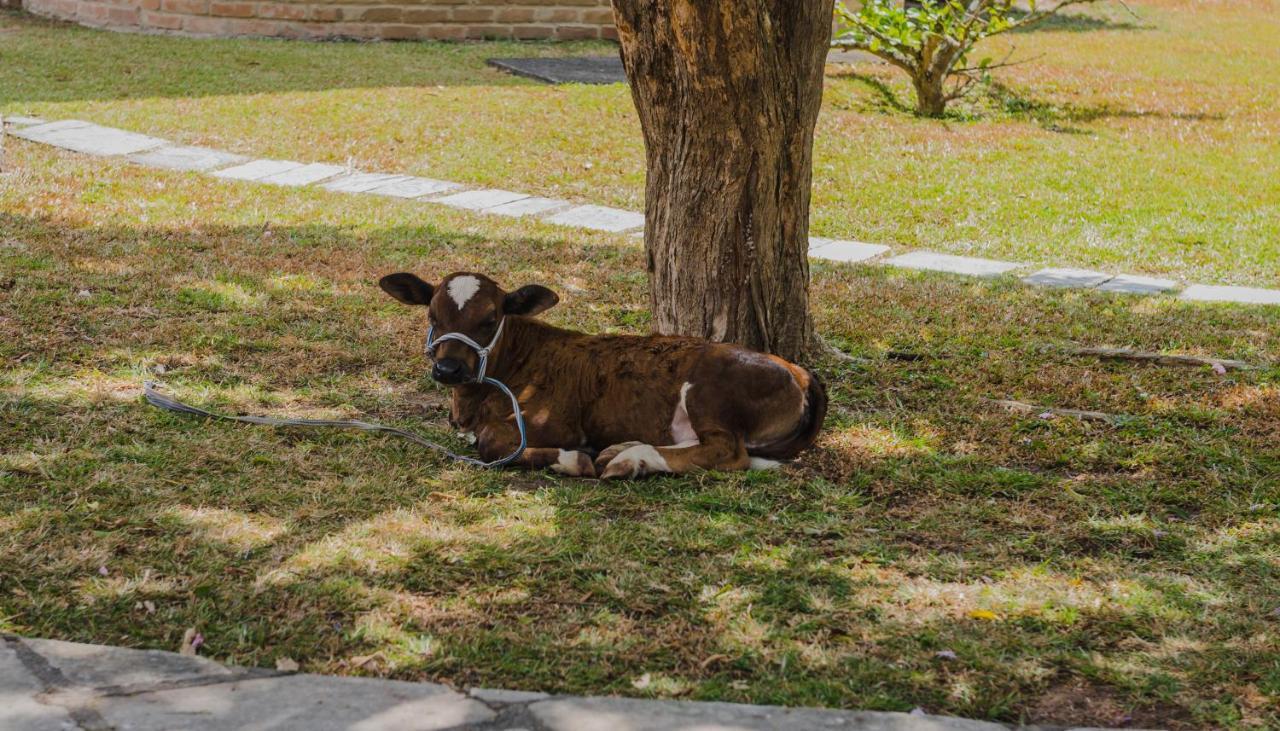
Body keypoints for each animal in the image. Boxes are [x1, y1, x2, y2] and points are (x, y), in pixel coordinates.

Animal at [376, 271, 829, 478]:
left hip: (710, 394)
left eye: (489, 319)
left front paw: (575, 459)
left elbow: (492, 444)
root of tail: (798, 370)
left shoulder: (556, 422)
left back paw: (630, 459)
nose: (447, 368)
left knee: (726, 452)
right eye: (432, 316)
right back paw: (623, 449)